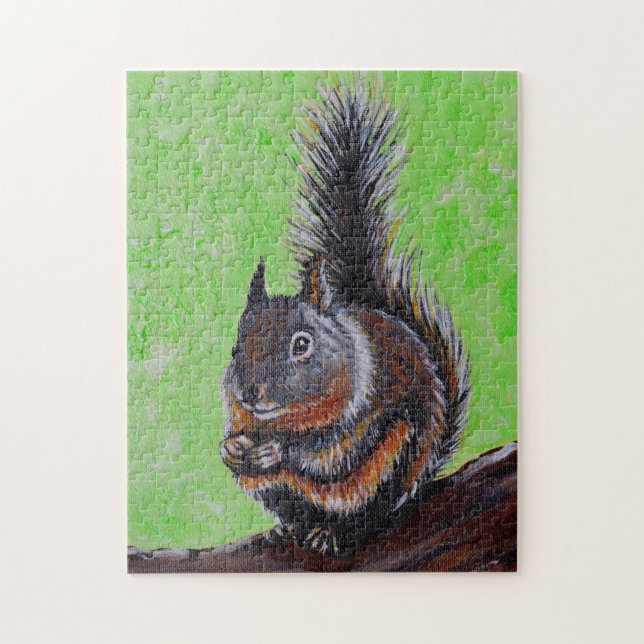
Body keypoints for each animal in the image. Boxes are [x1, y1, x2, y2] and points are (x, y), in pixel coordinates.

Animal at [220, 82, 470, 556]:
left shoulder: (362, 413)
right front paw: (231, 449)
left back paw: (330, 532)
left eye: (302, 344)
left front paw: (277, 453)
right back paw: (290, 527)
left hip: (389, 466)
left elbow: (325, 453)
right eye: (234, 347)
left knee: (363, 514)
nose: (250, 393)